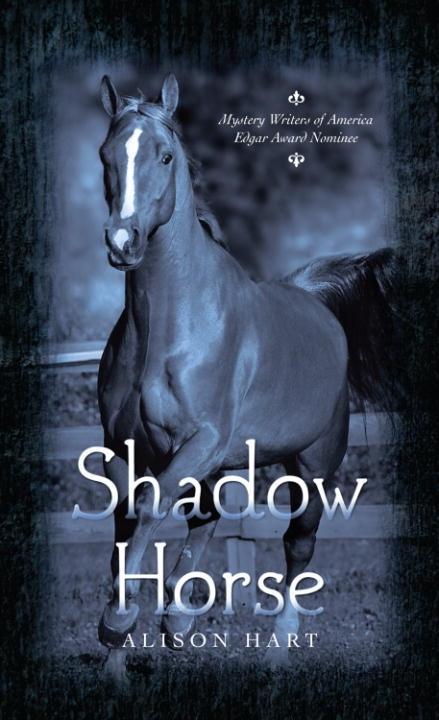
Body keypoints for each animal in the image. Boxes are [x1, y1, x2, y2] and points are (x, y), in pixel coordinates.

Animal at [95, 73, 395, 673]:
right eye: (105, 156)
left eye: (165, 156)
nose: (123, 243)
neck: (169, 327)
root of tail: (314, 301)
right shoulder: (124, 449)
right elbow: (128, 525)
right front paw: (119, 647)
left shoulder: (201, 441)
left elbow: (151, 507)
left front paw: (118, 622)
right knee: (208, 515)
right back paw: (178, 620)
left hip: (313, 465)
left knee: (297, 542)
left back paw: (278, 645)